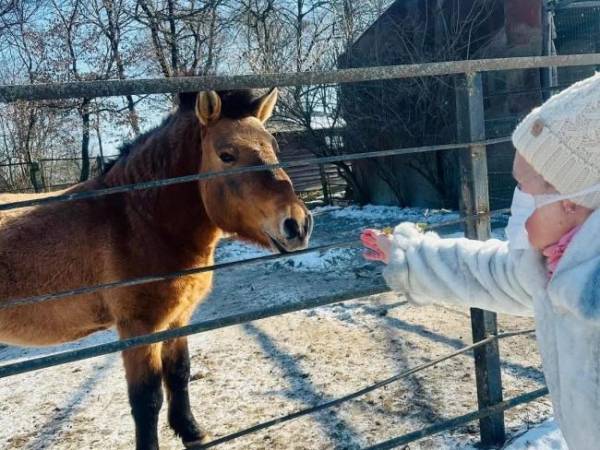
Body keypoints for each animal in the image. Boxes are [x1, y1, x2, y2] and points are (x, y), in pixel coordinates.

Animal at [0, 89, 312, 450]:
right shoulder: (139, 328)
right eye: (226, 155)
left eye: (273, 147)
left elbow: (179, 374)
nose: (297, 224)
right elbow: (146, 399)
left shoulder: (176, 319)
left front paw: (191, 430)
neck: (136, 220)